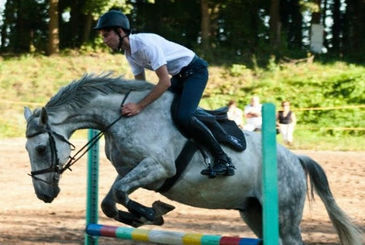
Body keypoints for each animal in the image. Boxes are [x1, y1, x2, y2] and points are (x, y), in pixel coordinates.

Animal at [23, 73, 362, 244]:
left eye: (39, 149)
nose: (44, 195)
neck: (123, 115)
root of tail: (295, 158)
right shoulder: (132, 170)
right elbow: (110, 200)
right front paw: (143, 216)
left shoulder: (158, 168)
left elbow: (120, 194)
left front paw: (154, 212)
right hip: (254, 213)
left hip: (285, 217)